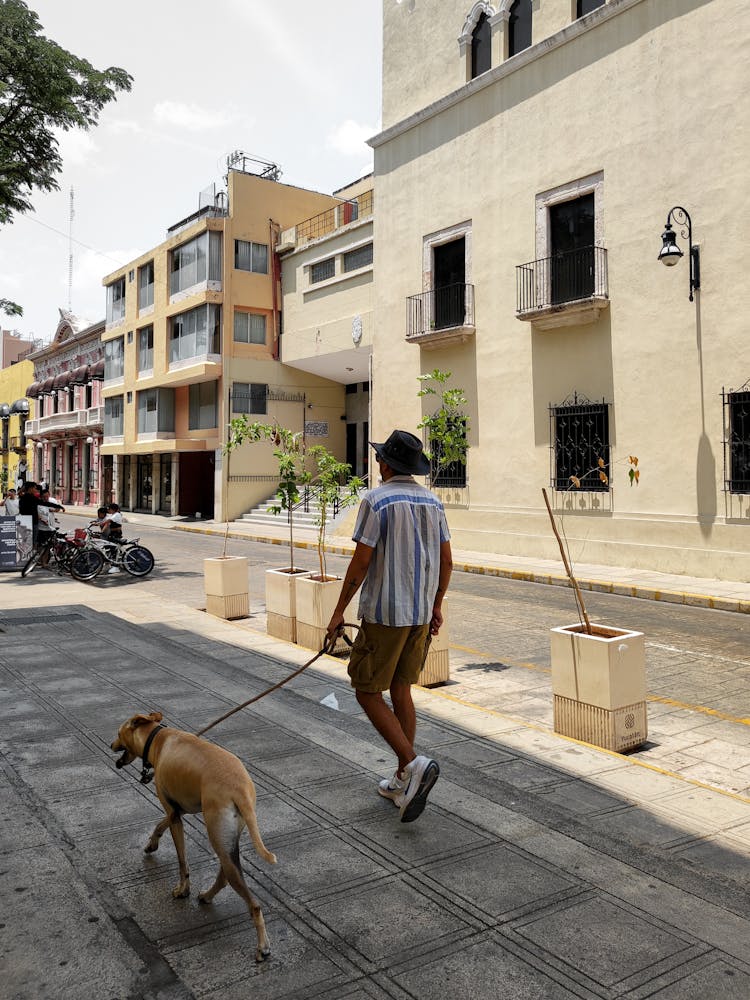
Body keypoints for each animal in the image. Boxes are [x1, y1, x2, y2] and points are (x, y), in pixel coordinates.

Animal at [108, 712, 276, 960]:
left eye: (118, 733)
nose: (111, 745)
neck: (157, 739)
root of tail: (240, 790)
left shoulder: (174, 813)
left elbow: (182, 860)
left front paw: (182, 889)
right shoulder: (179, 809)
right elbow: (160, 824)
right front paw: (151, 844)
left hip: (216, 833)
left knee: (252, 903)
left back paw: (262, 945)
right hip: (227, 839)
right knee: (225, 874)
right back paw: (207, 895)